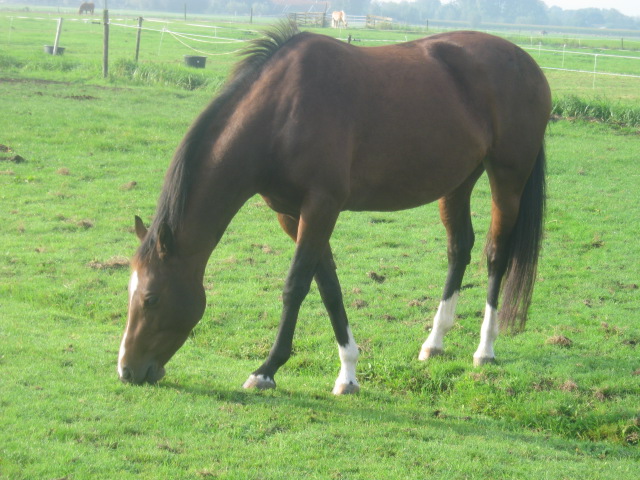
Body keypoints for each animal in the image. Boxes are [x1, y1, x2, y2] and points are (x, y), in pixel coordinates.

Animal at [119, 22, 552, 394]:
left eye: (151, 298)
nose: (126, 370)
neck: (282, 113)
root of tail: (527, 62)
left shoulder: (321, 207)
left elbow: (296, 285)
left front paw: (267, 370)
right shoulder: (292, 214)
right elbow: (328, 286)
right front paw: (348, 372)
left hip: (507, 178)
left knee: (496, 254)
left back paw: (485, 349)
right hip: (458, 182)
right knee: (459, 248)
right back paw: (435, 341)